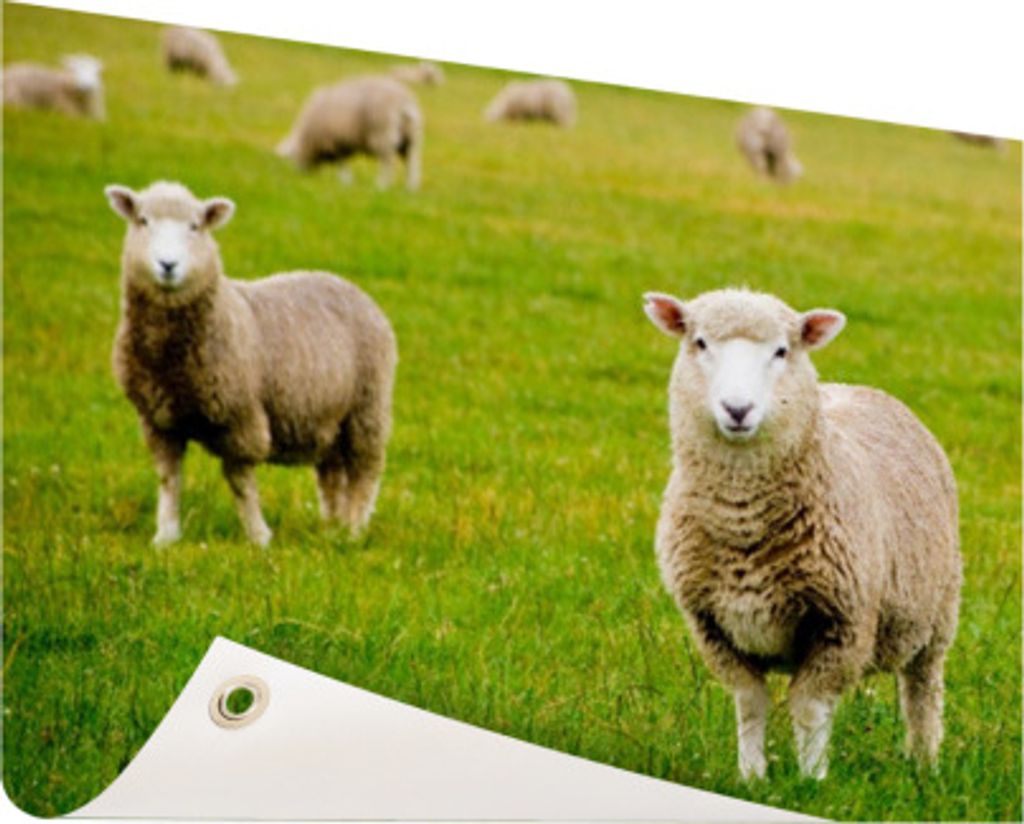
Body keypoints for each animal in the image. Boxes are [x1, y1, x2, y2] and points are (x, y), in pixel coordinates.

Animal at [105, 181, 397, 547]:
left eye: (195, 226)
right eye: (142, 221)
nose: (168, 264)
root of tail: (345, 283)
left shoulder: (240, 416)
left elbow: (240, 481)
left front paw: (258, 537)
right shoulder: (159, 421)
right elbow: (169, 478)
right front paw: (166, 536)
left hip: (367, 407)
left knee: (365, 471)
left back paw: (354, 531)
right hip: (327, 416)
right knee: (331, 473)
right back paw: (333, 528)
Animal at [276, 75, 423, 191]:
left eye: (292, 156)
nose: (300, 175)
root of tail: (404, 102)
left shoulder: (335, 142)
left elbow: (341, 164)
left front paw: (345, 182)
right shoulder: (342, 144)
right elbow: (343, 162)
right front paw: (347, 182)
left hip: (383, 135)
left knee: (387, 163)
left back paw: (381, 186)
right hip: (411, 138)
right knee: (412, 163)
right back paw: (410, 189)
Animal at [643, 288, 961, 781]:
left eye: (781, 351)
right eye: (699, 343)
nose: (738, 409)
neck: (744, 525)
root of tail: (854, 386)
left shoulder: (841, 623)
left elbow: (810, 708)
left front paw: (813, 781)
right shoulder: (712, 625)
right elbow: (750, 703)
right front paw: (752, 777)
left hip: (937, 614)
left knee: (922, 693)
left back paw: (924, 766)